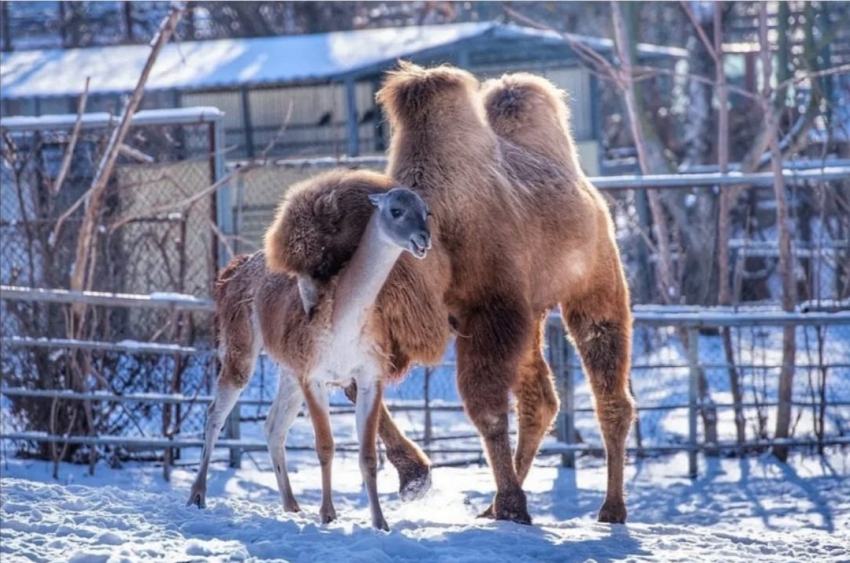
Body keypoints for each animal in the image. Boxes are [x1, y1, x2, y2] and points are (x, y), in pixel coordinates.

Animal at [185, 170, 450, 532]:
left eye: (427, 212)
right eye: (396, 211)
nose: (423, 240)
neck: (344, 320)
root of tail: (237, 266)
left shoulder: (368, 376)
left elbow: (368, 454)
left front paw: (380, 521)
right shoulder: (315, 376)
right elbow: (325, 446)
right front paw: (327, 514)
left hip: (289, 371)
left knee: (273, 428)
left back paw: (291, 504)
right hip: (242, 348)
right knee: (215, 414)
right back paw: (197, 495)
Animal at [268, 65, 632, 524]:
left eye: (326, 264)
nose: (311, 313)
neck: (444, 234)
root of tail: (590, 194)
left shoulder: (491, 311)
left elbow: (484, 404)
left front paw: (512, 506)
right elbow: (356, 388)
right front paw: (416, 478)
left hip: (595, 284)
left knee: (608, 387)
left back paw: (610, 509)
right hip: (532, 315)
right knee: (541, 401)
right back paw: (493, 505)